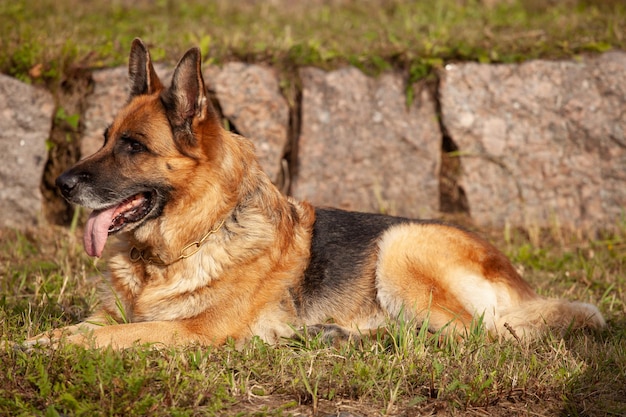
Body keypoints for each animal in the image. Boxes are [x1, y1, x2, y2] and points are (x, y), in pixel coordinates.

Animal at [31, 39, 604, 348]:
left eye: (132, 146)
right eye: (105, 137)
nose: (61, 185)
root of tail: (519, 284)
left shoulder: (194, 332)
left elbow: (111, 337)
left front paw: (47, 346)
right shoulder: (114, 312)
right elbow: (88, 326)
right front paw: (46, 339)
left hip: (401, 246)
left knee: (472, 336)